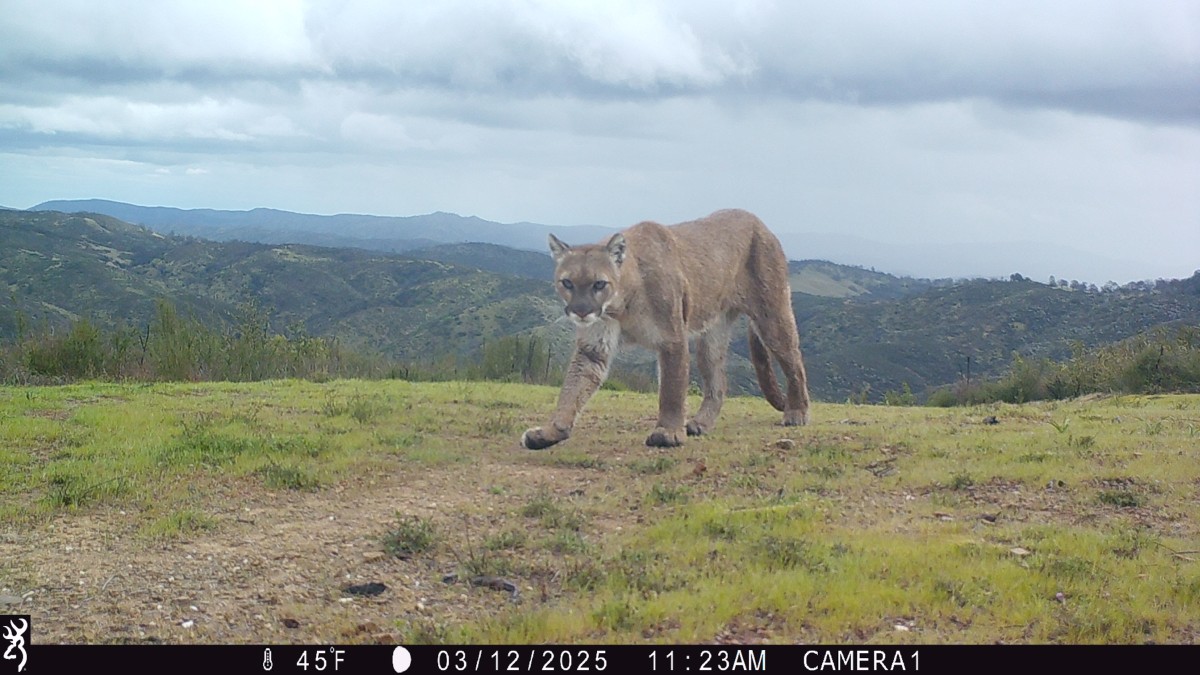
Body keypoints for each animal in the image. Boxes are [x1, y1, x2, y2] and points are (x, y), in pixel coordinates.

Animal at [521, 208, 811, 450]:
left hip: (772, 316)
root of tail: (758, 220)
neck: (621, 304)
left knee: (794, 362)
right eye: (567, 283)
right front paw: (551, 431)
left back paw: (797, 412)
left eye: (599, 284)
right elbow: (572, 389)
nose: (581, 311)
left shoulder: (672, 339)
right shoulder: (594, 347)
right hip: (711, 333)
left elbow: (672, 388)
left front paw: (668, 433)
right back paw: (701, 423)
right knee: (718, 380)